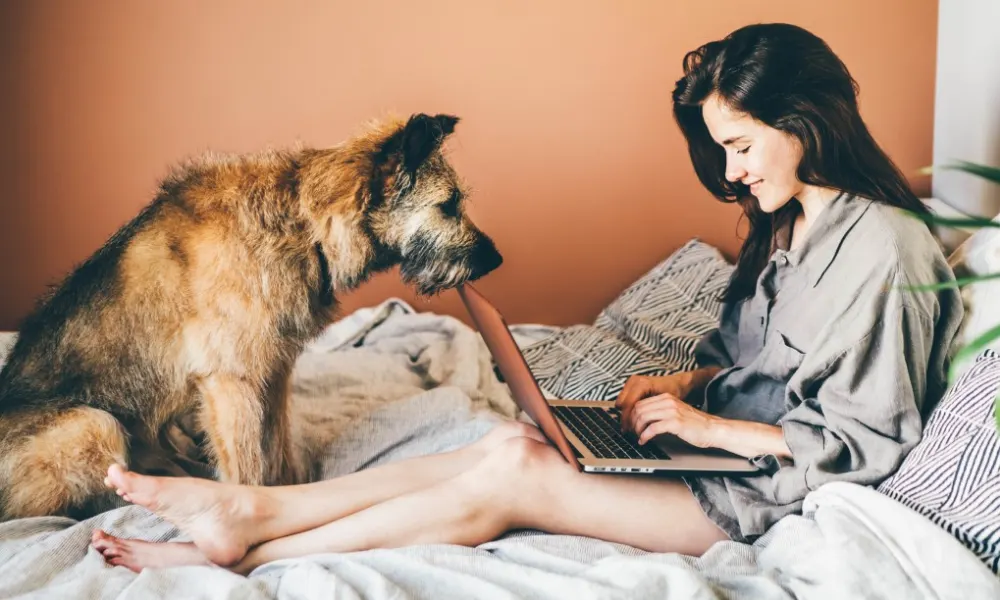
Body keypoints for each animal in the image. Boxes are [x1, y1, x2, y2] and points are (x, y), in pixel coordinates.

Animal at [0, 112, 500, 520]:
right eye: (449, 204)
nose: (495, 261)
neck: (302, 221)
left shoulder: (273, 373)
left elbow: (276, 452)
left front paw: (290, 493)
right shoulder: (231, 382)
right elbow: (247, 469)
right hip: (95, 424)